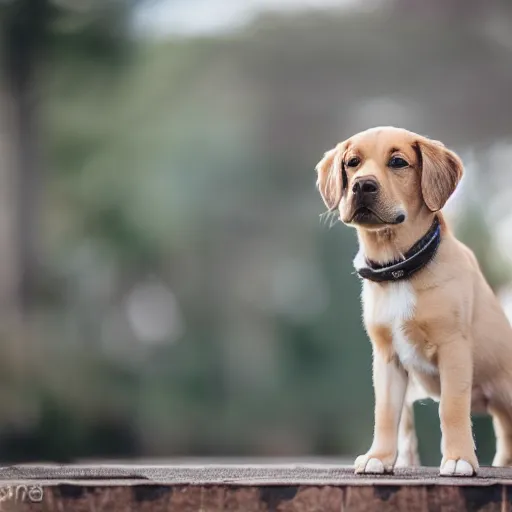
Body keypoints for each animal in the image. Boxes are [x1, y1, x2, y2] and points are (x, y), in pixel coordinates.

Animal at [314, 127, 512, 476]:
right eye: (352, 163)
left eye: (398, 162)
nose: (362, 185)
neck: (399, 269)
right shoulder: (387, 356)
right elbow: (385, 412)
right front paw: (379, 457)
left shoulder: (453, 348)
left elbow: (451, 408)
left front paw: (459, 459)